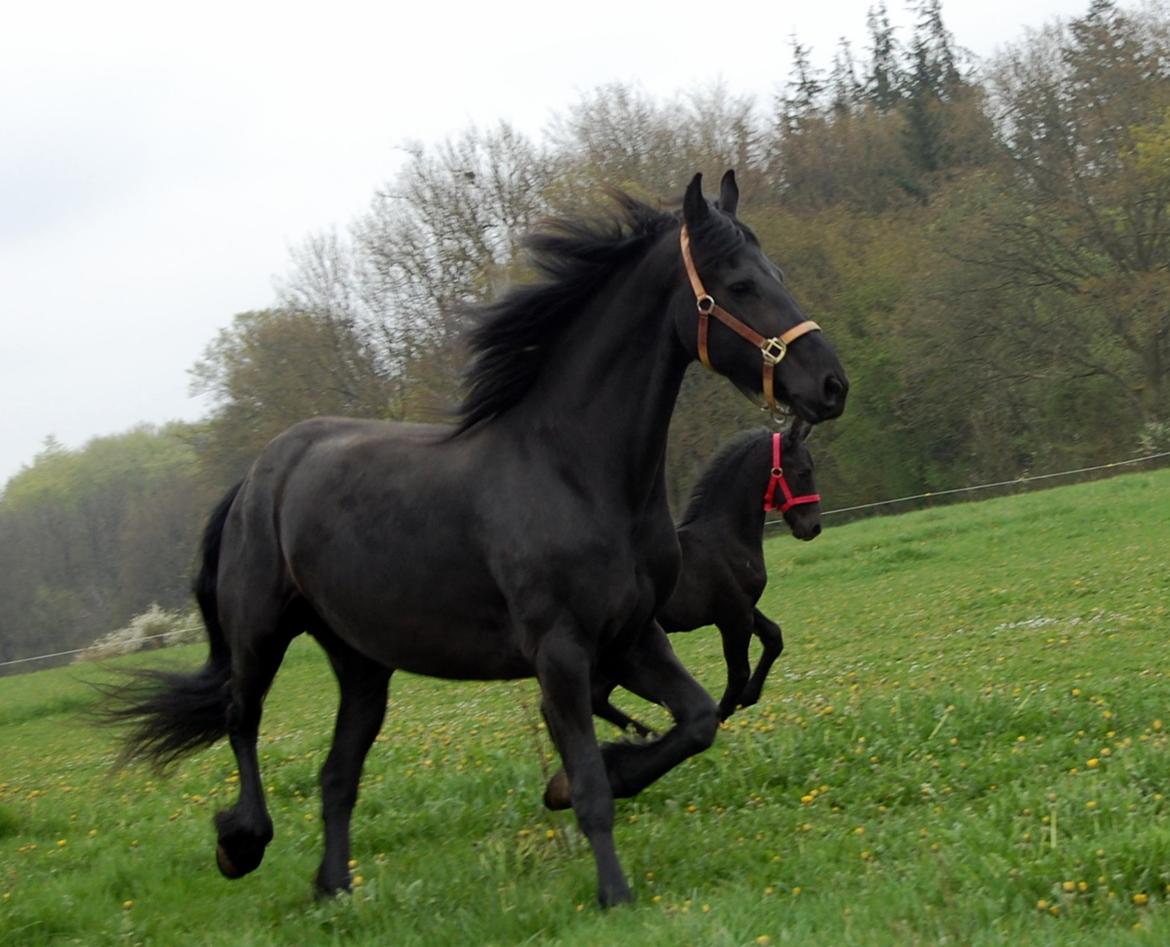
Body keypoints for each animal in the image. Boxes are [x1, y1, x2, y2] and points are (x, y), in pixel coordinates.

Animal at [594, 421, 823, 730]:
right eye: (803, 471)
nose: (813, 527)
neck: (724, 537)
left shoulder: (744, 608)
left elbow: (774, 637)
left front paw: (748, 697)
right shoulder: (733, 616)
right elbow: (739, 671)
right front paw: (725, 710)